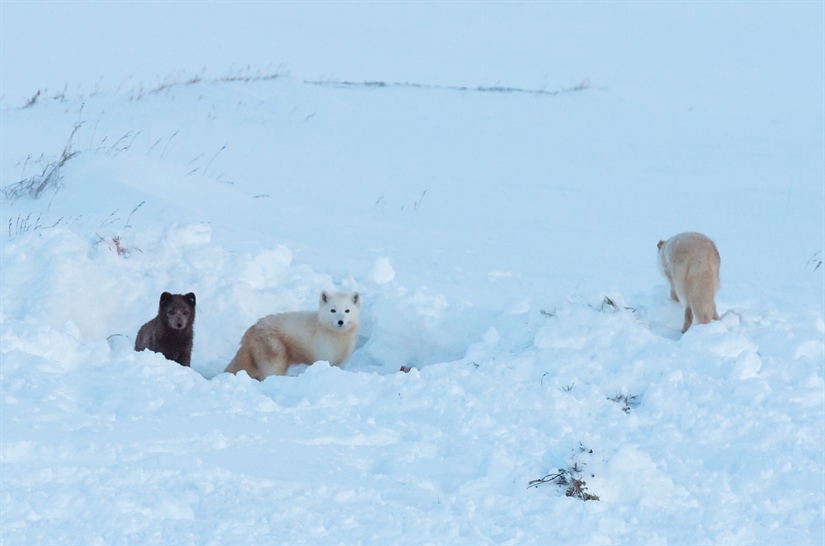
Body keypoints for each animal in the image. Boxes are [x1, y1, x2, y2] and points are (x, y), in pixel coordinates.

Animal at [224, 288, 358, 378]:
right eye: (333, 310)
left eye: (347, 310)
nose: (340, 321)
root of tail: (250, 331)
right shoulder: (323, 356)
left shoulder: (339, 361)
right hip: (275, 356)